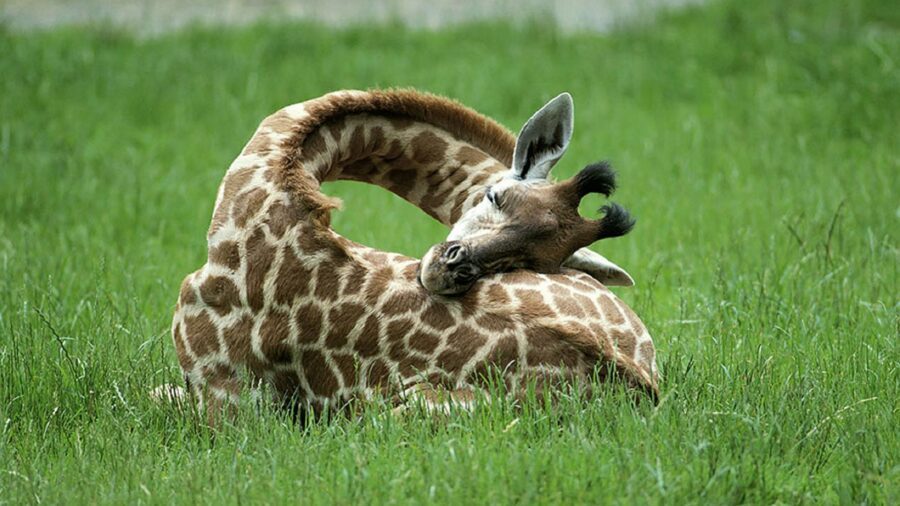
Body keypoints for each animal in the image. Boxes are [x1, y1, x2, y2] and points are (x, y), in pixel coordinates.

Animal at [168, 89, 660, 424]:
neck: (280, 180)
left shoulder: (223, 396)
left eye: (539, 259)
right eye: (494, 196)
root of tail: (642, 387)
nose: (452, 269)